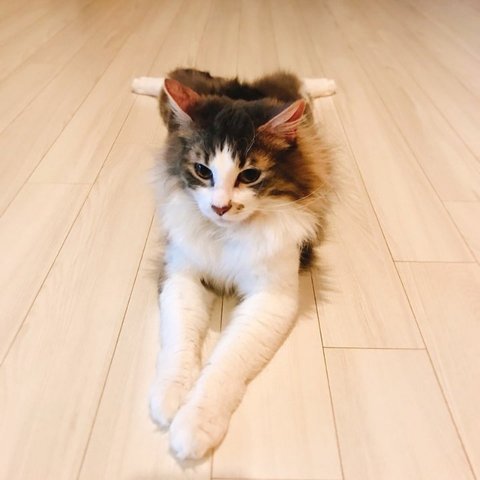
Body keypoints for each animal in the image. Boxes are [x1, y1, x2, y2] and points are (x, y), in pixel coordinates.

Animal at [132, 69, 334, 460]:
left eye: (250, 175)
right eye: (201, 170)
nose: (220, 207)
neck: (226, 234)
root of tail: (241, 86)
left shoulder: (271, 296)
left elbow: (226, 363)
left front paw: (195, 425)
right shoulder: (181, 273)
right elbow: (179, 340)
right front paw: (170, 396)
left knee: (303, 82)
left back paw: (328, 84)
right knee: (166, 81)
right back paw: (141, 82)